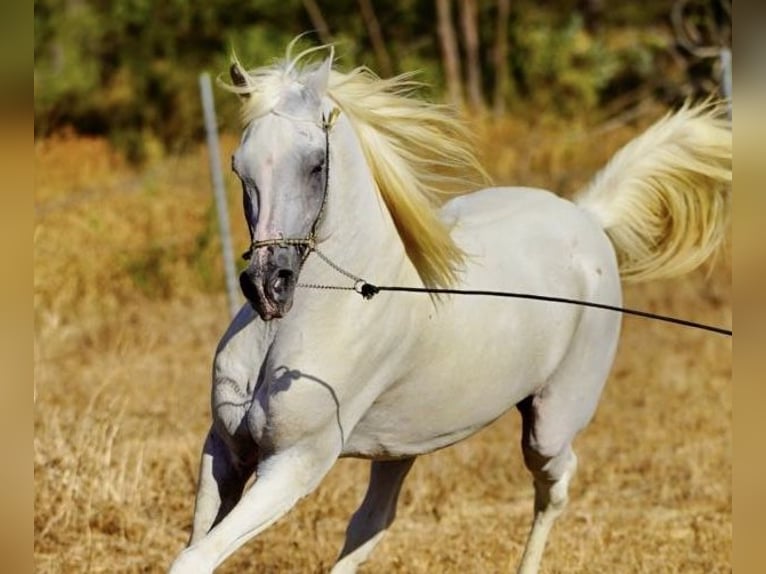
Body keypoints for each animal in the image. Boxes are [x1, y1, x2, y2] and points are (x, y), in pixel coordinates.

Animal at [171, 42, 736, 572]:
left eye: (315, 165)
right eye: (238, 166)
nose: (269, 286)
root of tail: (588, 218)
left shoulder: (293, 464)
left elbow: (194, 557)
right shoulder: (225, 451)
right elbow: (197, 545)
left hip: (549, 425)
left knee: (555, 486)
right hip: (400, 446)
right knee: (372, 524)